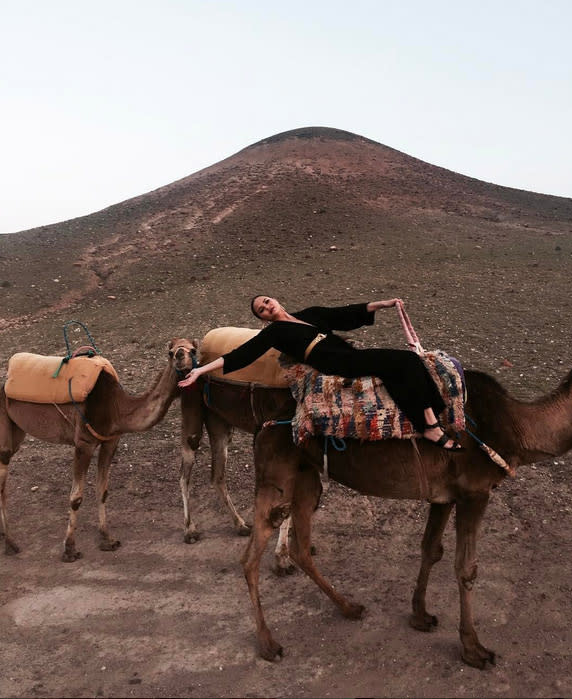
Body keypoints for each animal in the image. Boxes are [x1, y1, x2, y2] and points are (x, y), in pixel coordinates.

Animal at [0, 340, 197, 564]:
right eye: (170, 353)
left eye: (193, 350)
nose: (181, 357)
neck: (116, 407)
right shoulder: (83, 443)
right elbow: (76, 497)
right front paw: (69, 549)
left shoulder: (111, 441)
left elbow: (102, 490)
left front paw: (107, 539)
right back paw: (11, 544)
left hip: (17, 431)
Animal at [241, 366, 572, 668]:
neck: (516, 427)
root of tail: (262, 424)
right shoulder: (475, 492)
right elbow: (465, 568)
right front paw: (474, 650)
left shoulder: (445, 496)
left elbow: (431, 549)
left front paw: (420, 615)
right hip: (277, 473)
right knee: (251, 556)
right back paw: (269, 644)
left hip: (306, 475)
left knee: (300, 547)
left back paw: (350, 608)